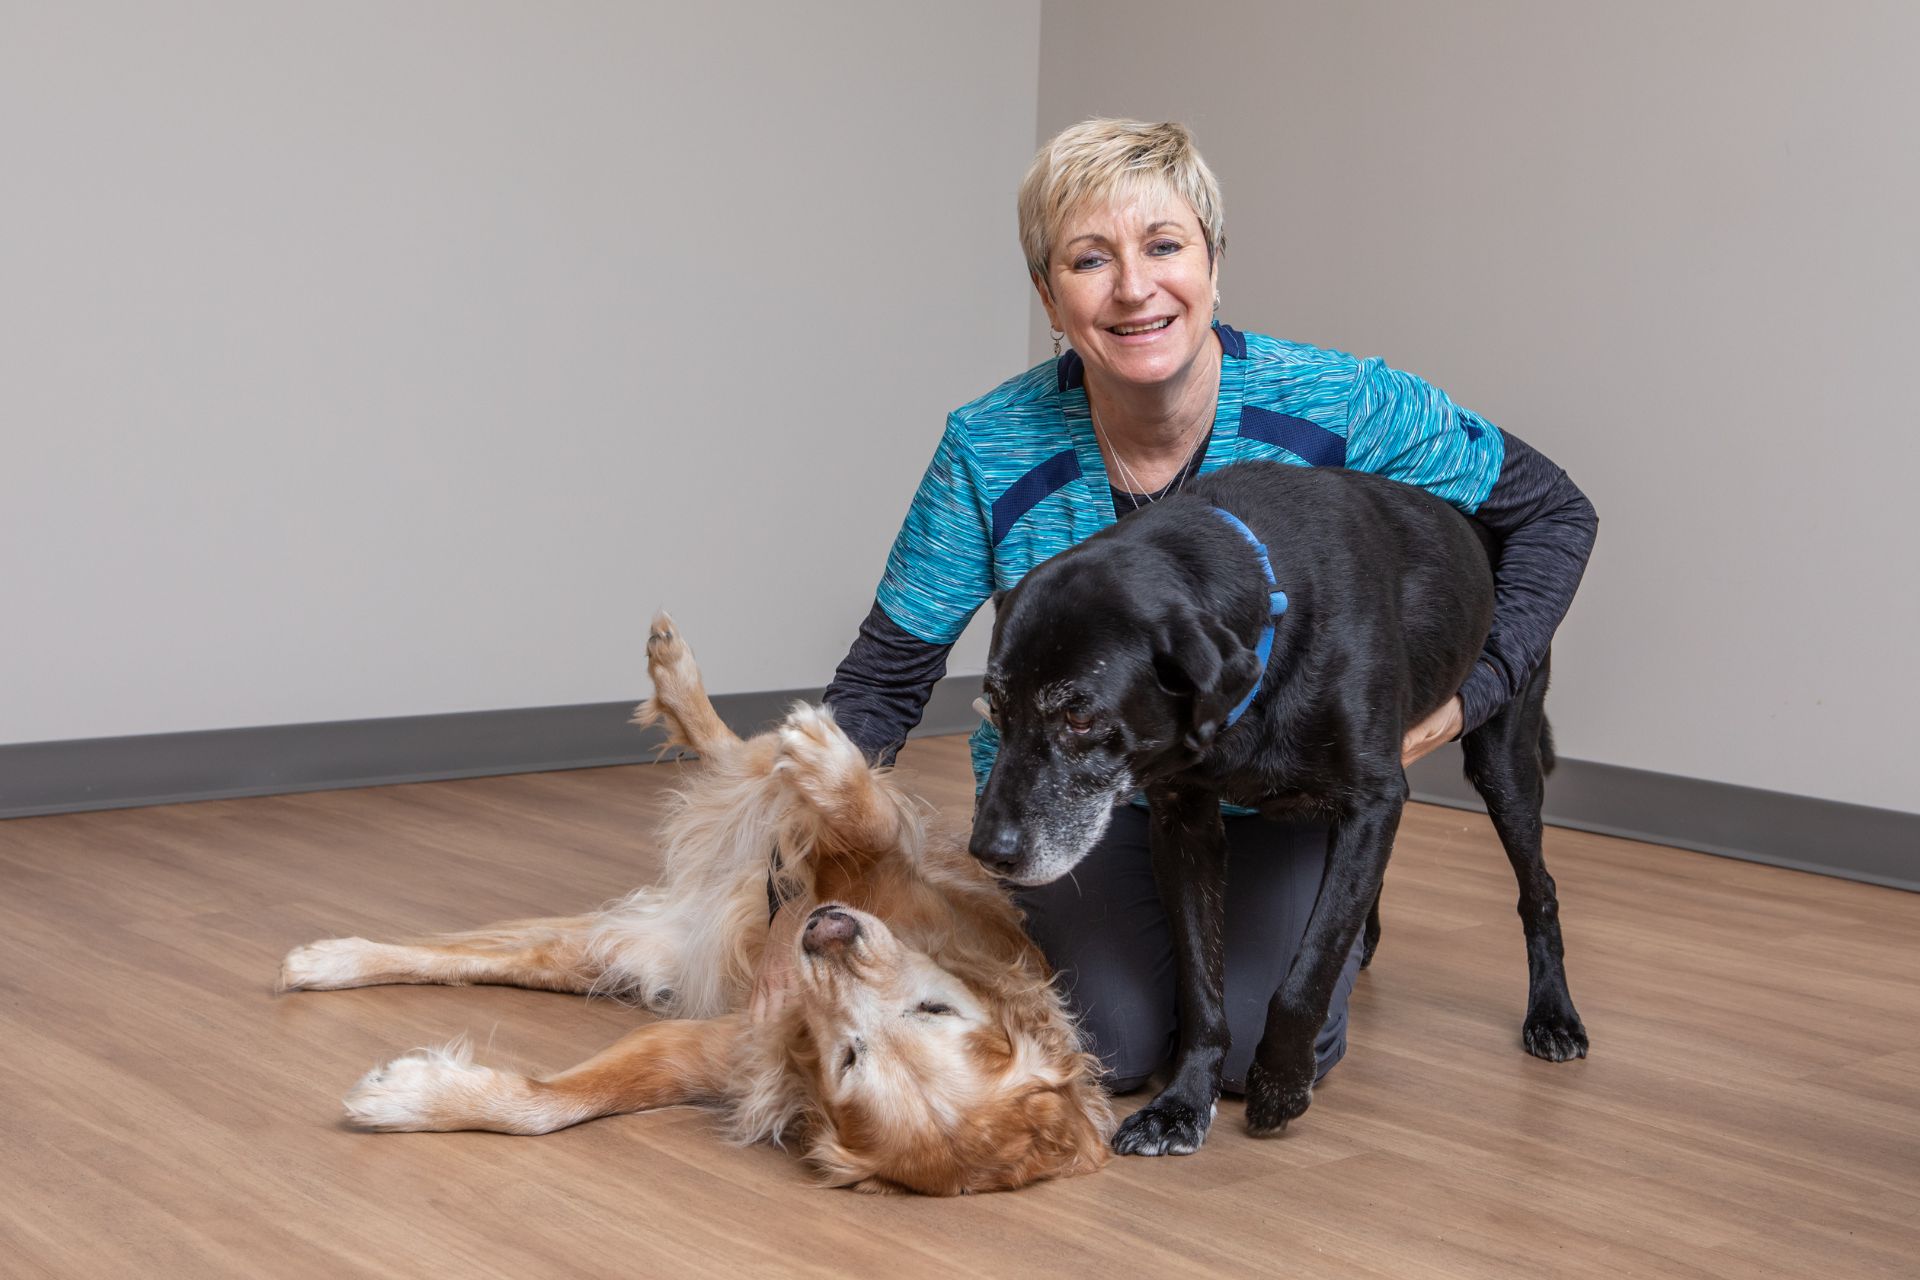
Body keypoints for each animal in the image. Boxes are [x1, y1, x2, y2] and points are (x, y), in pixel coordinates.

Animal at [967, 462, 1582, 1159]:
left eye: (1078, 714)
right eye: (996, 707)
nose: (988, 852)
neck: (1273, 602)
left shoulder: (1373, 800)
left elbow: (1308, 969)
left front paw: (1279, 1086)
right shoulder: (1184, 823)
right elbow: (1201, 986)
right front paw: (1182, 1104)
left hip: (1504, 759)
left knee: (1538, 888)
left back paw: (1553, 1014)